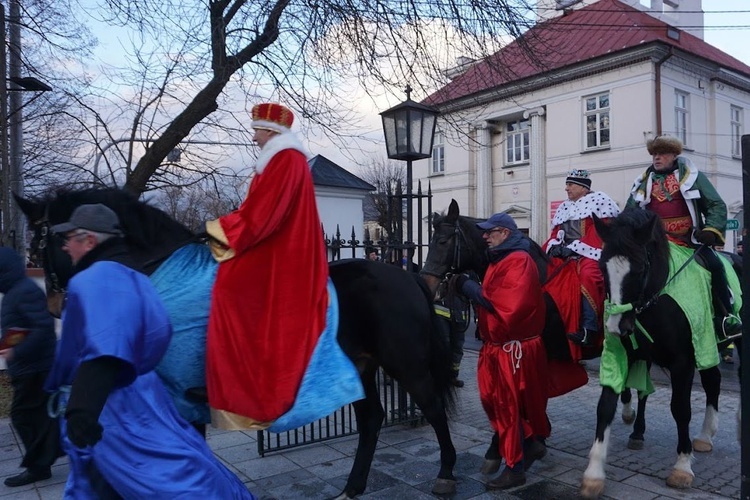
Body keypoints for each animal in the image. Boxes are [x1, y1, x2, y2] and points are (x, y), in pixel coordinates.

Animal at [17, 189, 462, 498]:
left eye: (36, 245)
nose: (54, 305)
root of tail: (408, 276)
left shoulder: (178, 393)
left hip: (405, 363)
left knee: (432, 408)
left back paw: (445, 473)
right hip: (362, 366)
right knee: (371, 419)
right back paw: (352, 487)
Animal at [580, 207, 740, 496]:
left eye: (640, 267)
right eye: (601, 267)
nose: (616, 326)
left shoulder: (683, 362)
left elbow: (681, 409)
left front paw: (682, 466)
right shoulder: (621, 355)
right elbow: (606, 405)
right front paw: (594, 473)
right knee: (713, 381)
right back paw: (704, 435)